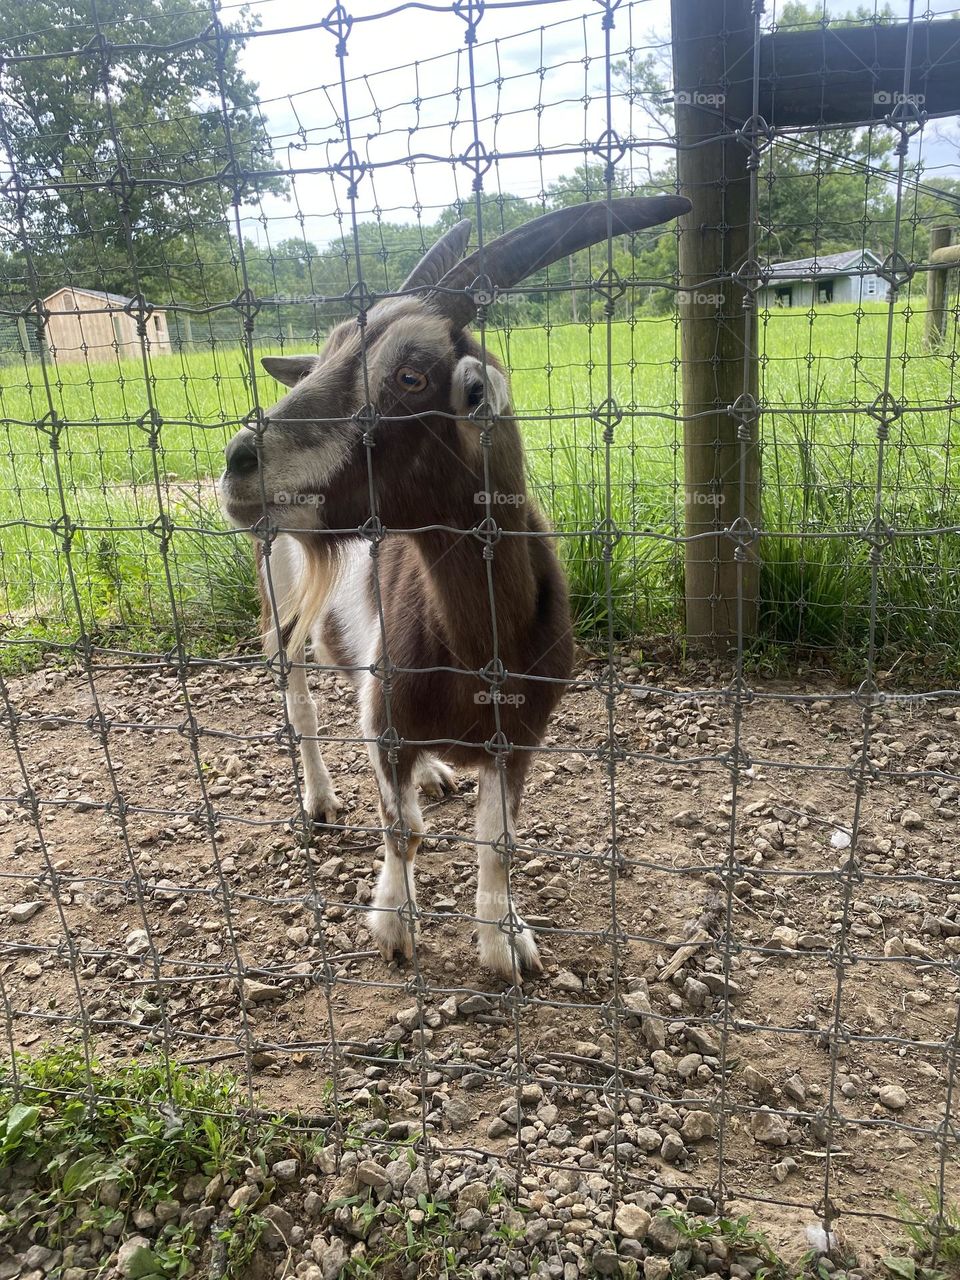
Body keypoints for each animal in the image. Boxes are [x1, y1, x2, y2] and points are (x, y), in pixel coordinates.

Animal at [219, 196, 690, 978]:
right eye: (329, 353)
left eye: (410, 377)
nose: (237, 464)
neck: (475, 645)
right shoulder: (388, 718)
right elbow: (398, 829)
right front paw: (394, 927)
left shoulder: (520, 738)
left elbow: (498, 841)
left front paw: (506, 944)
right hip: (280, 598)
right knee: (301, 698)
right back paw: (321, 799)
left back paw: (434, 774)